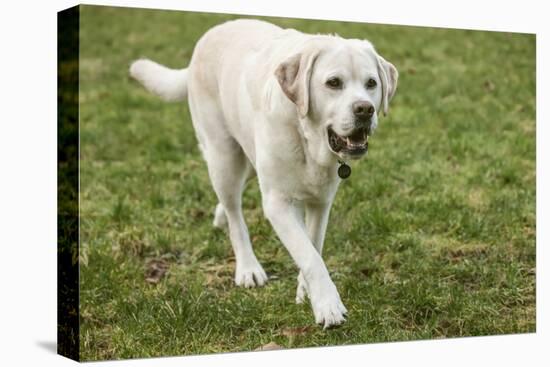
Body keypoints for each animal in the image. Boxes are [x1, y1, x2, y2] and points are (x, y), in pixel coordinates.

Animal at [134, 18, 402, 330]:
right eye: (334, 83)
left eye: (371, 83)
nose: (365, 110)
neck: (306, 136)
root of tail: (209, 35)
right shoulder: (277, 203)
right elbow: (309, 256)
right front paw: (328, 306)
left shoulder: (321, 201)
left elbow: (313, 245)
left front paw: (306, 292)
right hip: (225, 158)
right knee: (235, 214)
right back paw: (247, 267)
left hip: (250, 161)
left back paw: (219, 216)